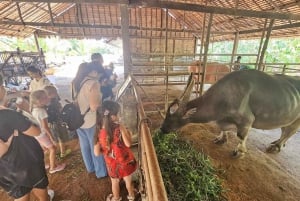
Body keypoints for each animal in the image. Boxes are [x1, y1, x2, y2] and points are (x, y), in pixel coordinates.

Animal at [161, 70, 300, 158]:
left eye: (173, 120)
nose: (162, 129)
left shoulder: (246, 120)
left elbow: (241, 136)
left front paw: (239, 152)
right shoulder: (222, 118)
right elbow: (222, 128)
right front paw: (221, 139)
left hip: (297, 118)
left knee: (290, 131)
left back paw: (276, 146)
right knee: (285, 129)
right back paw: (278, 142)